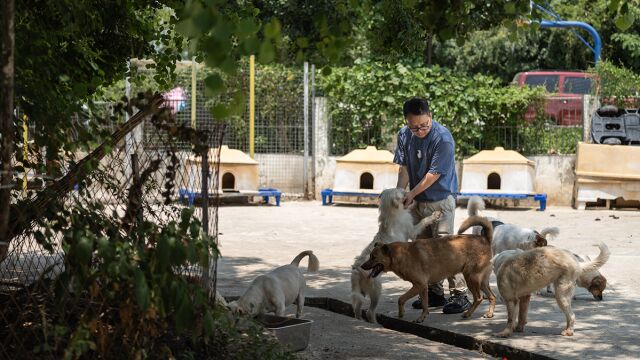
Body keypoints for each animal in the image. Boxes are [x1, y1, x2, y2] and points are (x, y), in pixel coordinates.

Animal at [350, 188, 440, 324]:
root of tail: (356, 270)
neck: (391, 214)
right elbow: (423, 222)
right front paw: (433, 216)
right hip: (376, 289)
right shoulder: (412, 231)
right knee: (370, 312)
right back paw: (375, 324)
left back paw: (359, 320)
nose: (410, 192)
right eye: (403, 192)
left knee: (357, 309)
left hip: (361, 292)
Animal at [360, 215, 496, 322]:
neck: (399, 255)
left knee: (479, 298)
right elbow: (425, 305)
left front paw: (401, 313)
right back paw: (489, 313)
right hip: (482, 281)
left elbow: (401, 299)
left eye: (373, 257)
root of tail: (485, 239)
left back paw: (467, 314)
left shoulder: (418, 285)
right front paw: (422, 317)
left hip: (471, 277)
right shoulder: (423, 287)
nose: (362, 266)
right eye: (370, 256)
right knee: (492, 296)